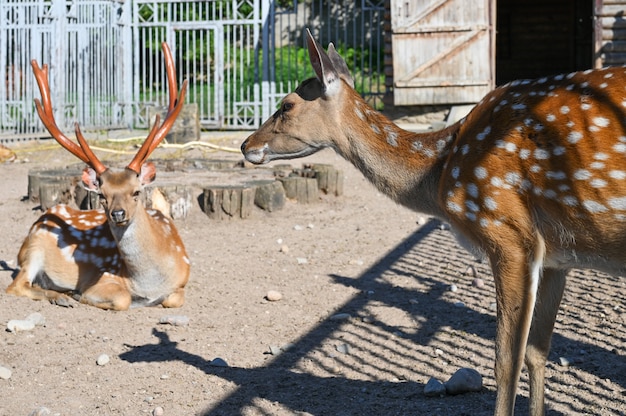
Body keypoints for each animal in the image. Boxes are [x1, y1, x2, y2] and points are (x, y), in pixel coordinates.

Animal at [6, 44, 190, 312]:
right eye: (102, 195)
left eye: (136, 192)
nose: (118, 213)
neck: (149, 284)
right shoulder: (102, 277)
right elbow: (122, 299)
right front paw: (77, 294)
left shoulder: (183, 280)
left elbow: (174, 299)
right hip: (34, 248)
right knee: (16, 286)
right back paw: (63, 296)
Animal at [241, 30, 624, 416]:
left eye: (287, 105)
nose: (245, 145)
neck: (441, 172)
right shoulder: (557, 257)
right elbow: (536, 353)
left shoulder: (510, 233)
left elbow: (506, 360)